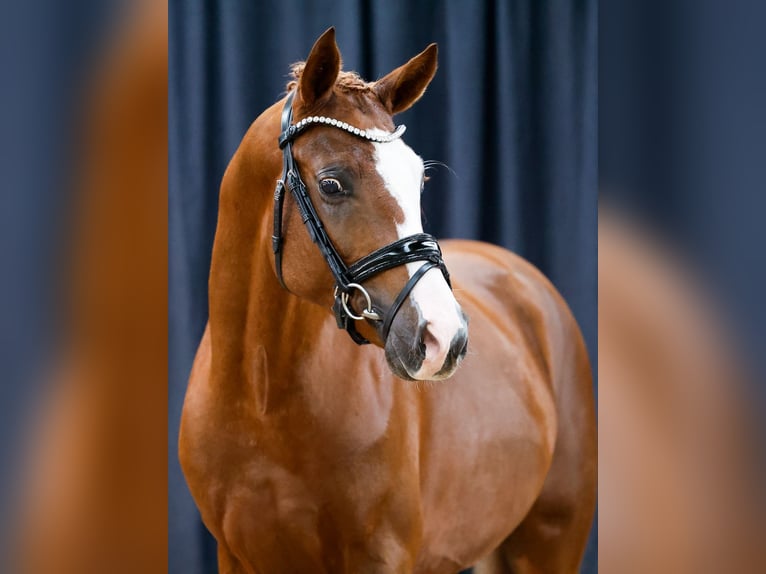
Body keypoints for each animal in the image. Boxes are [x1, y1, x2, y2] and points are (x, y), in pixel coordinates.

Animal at [182, 28, 600, 574]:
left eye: (419, 179)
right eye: (332, 183)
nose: (446, 338)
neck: (262, 400)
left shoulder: (382, 557)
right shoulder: (233, 556)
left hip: (551, 540)